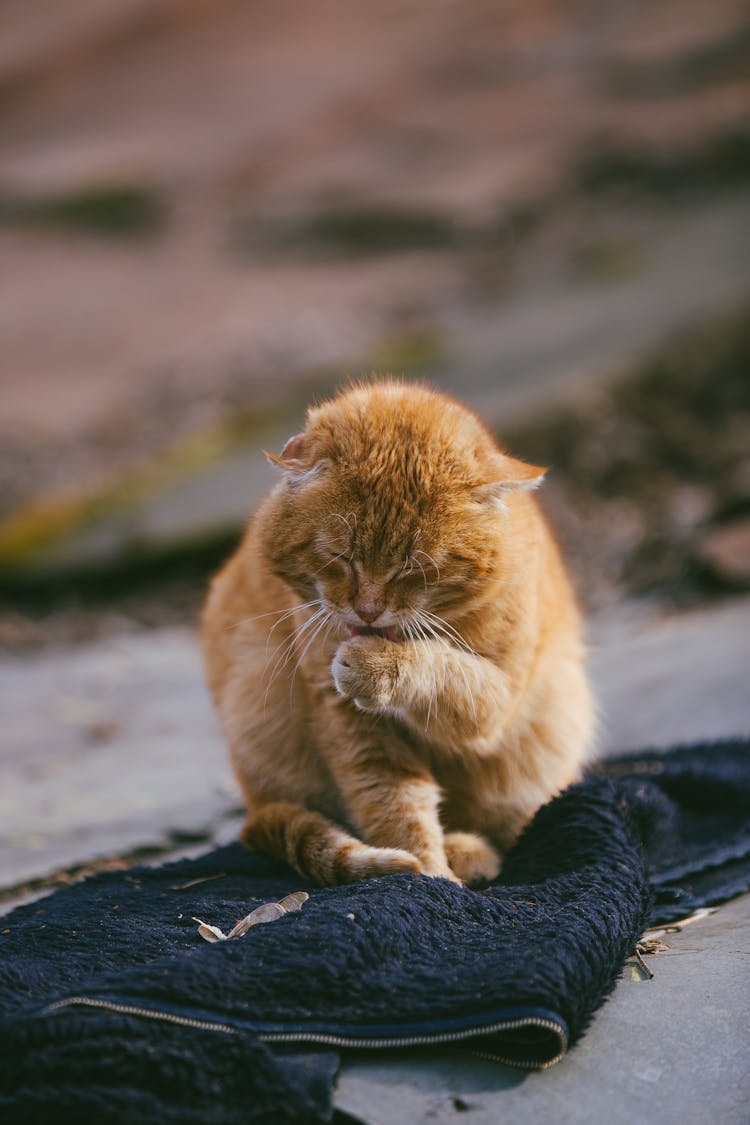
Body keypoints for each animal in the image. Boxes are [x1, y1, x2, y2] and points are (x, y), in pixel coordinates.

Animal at [201, 382, 598, 882]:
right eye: (341, 556)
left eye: (414, 567)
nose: (368, 611)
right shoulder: (349, 722)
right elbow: (394, 803)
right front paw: (427, 878)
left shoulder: (497, 700)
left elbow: (445, 668)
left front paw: (382, 666)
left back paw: (471, 851)